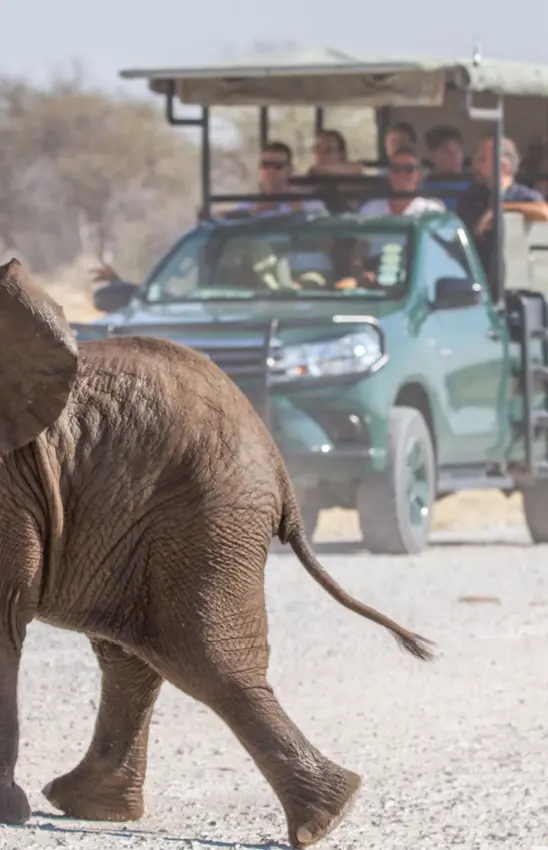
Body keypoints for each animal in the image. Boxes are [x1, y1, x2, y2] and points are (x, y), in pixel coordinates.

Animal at [0, 258, 434, 848]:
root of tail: (279, 466)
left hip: (205, 515)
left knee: (205, 656)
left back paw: (325, 818)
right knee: (136, 653)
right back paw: (87, 805)